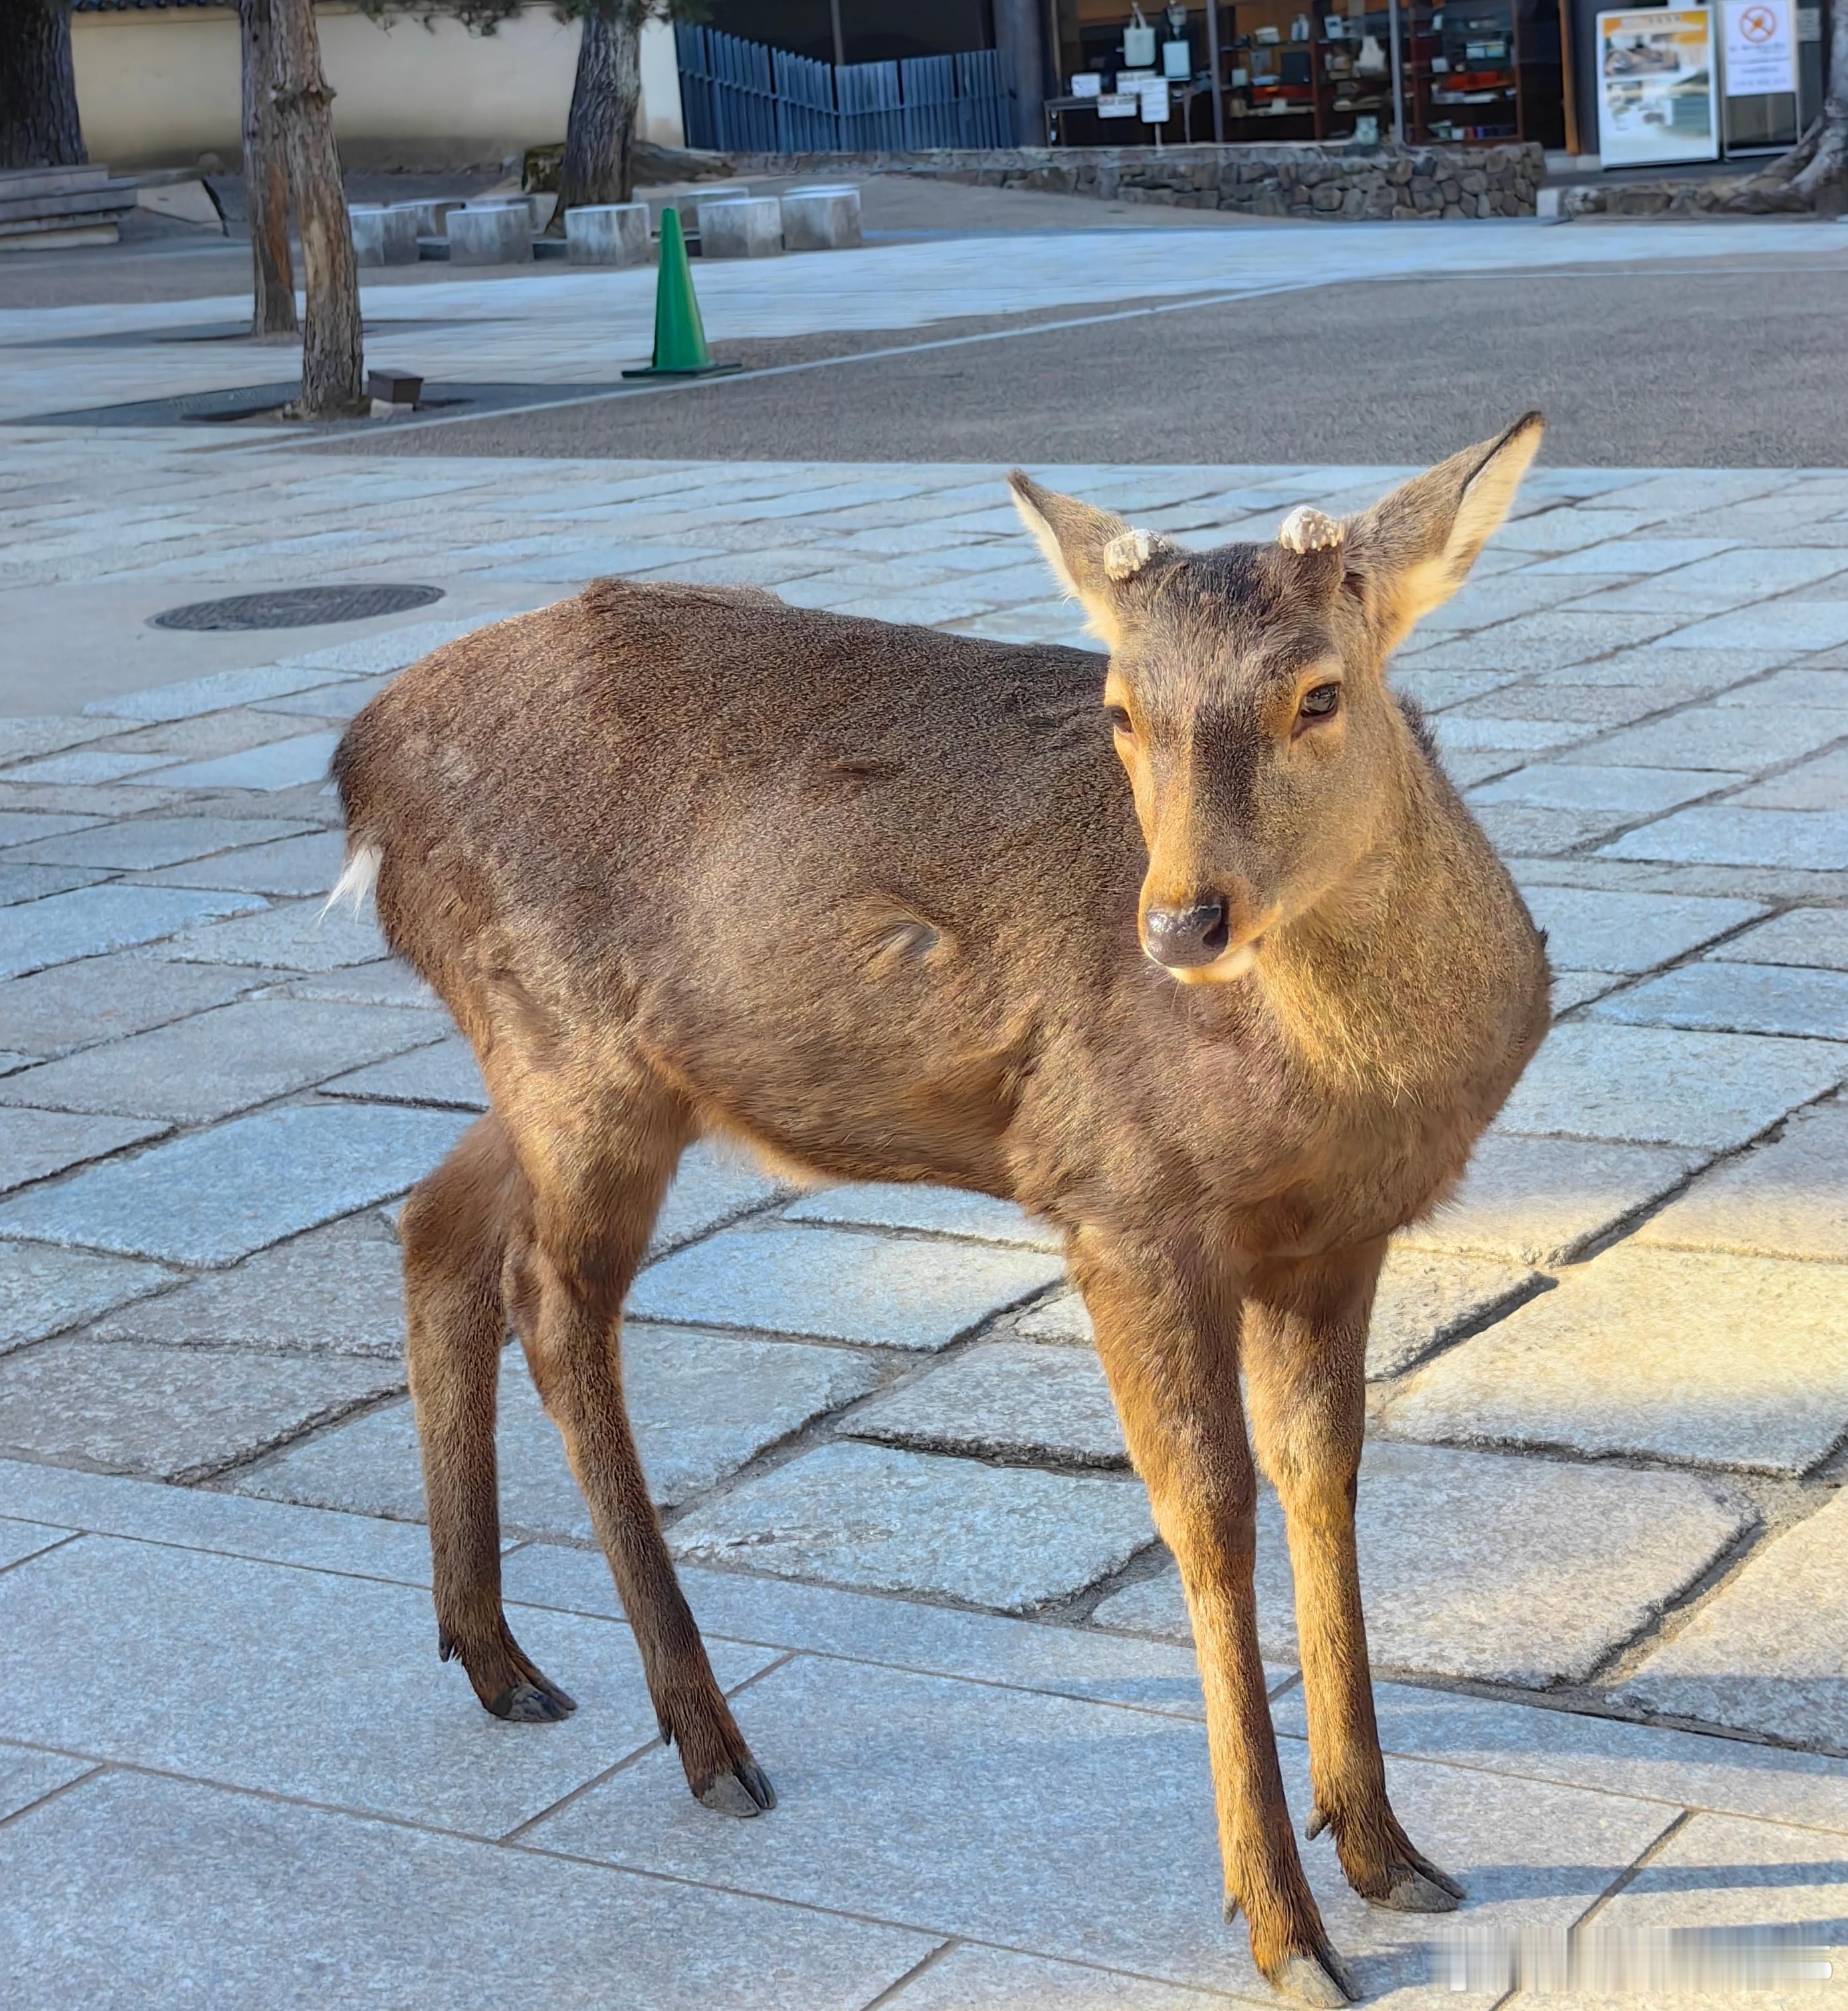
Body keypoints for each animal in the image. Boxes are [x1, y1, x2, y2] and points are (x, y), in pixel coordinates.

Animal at [336, 416, 1560, 2002]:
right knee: (553, 1296)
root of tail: (356, 768)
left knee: (433, 1220)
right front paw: (1282, 1925)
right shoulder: (1122, 1201)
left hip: (577, 1071)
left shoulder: (1335, 1240)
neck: (1346, 1093)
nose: (1179, 922)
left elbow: (1326, 1479)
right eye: (1118, 708)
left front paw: (1388, 1850)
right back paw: (707, 1737)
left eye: (1320, 693)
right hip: (570, 1048)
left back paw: (497, 1658)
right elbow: (1207, 1510)